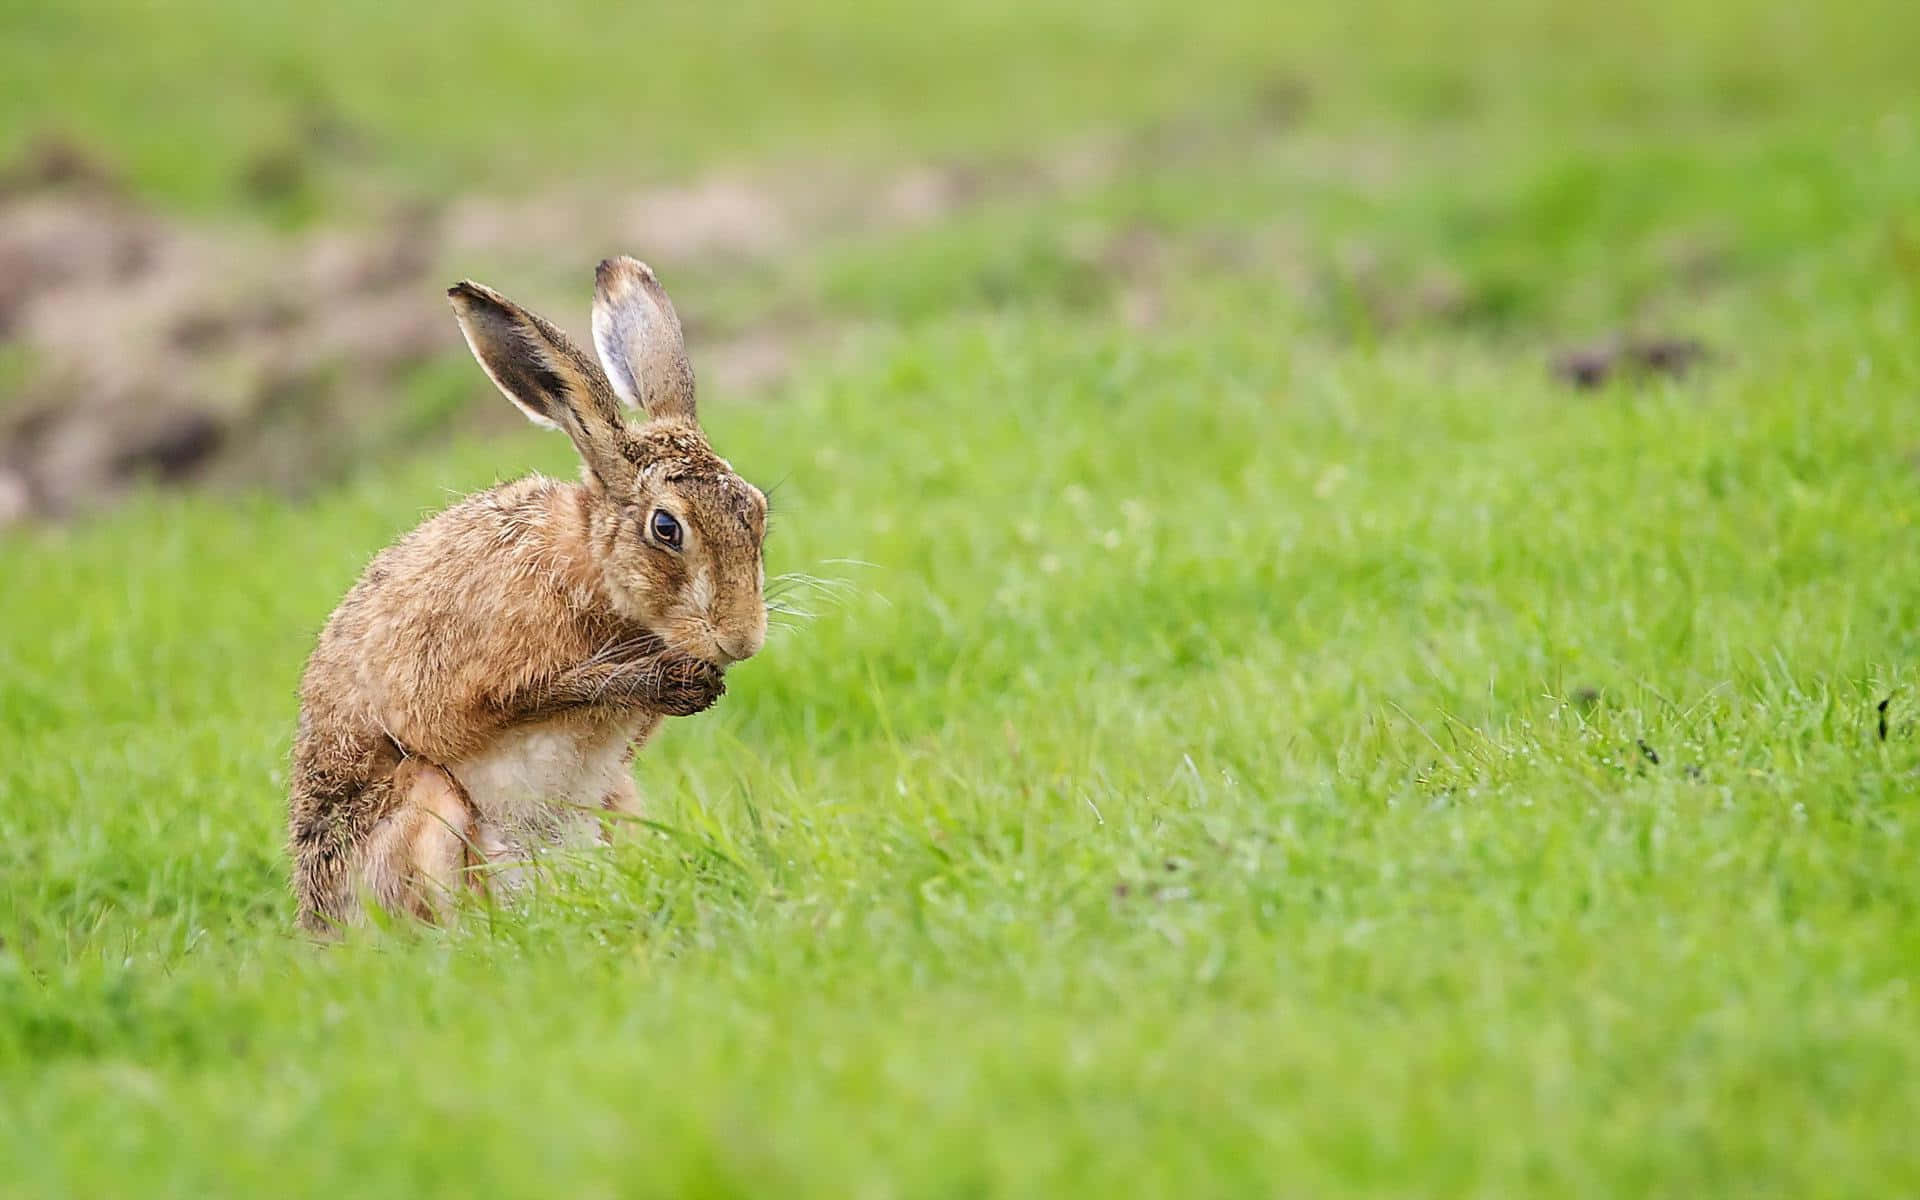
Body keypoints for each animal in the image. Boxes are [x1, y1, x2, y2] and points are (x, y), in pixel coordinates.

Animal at [288, 256, 768, 933]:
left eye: (757, 510)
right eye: (666, 528)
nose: (743, 638)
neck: (590, 565)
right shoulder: (464, 678)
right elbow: (535, 695)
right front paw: (667, 681)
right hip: (428, 802)